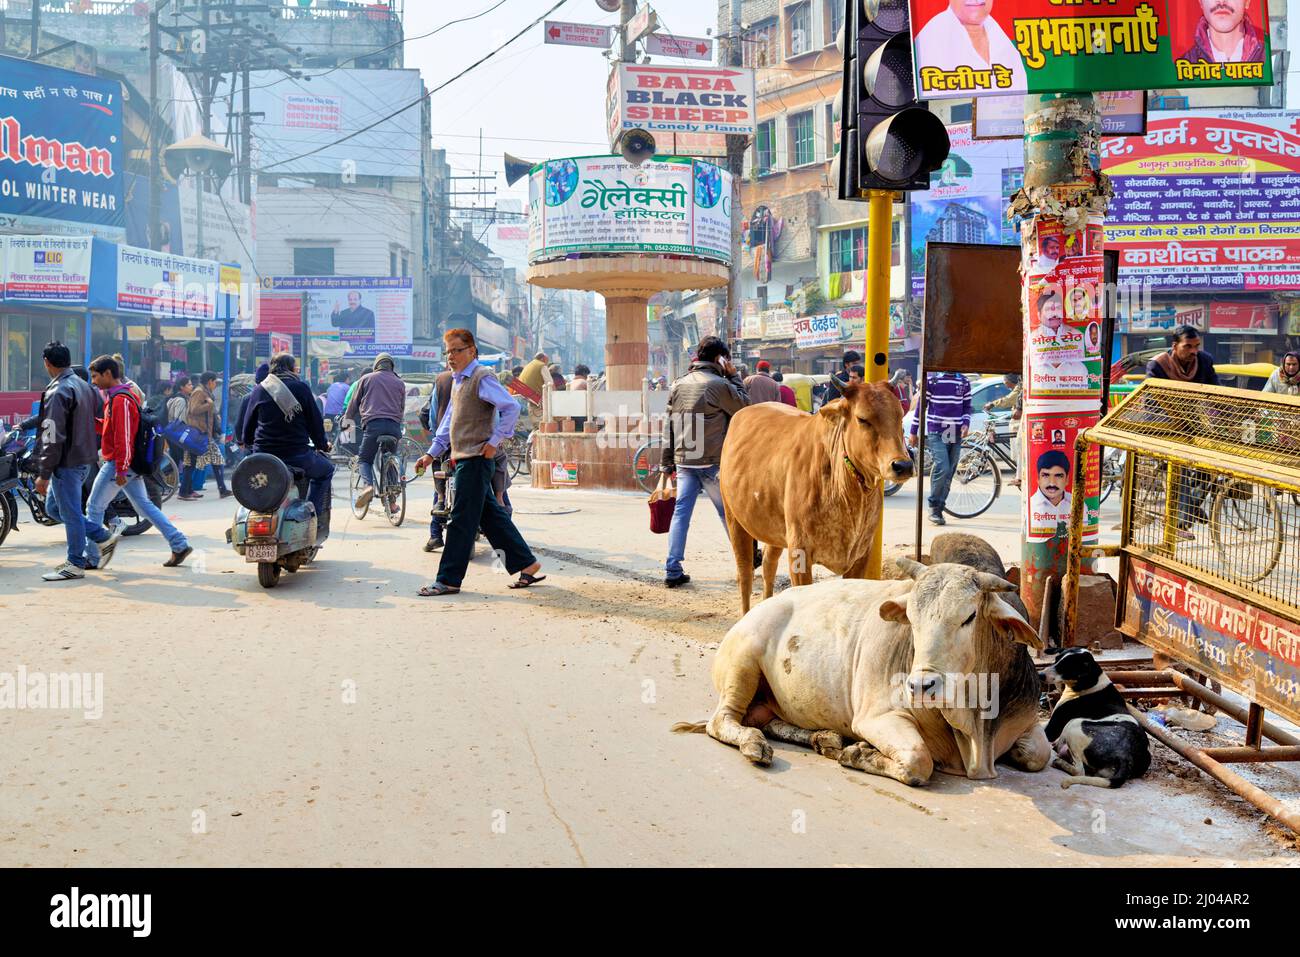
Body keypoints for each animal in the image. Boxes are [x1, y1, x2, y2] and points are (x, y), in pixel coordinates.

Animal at [676, 561, 1050, 785]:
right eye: (911, 619)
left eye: (969, 617)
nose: (921, 686)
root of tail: (758, 607)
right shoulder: (875, 717)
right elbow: (919, 761)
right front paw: (857, 753)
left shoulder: (1028, 721)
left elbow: (1039, 756)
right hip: (741, 663)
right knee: (721, 721)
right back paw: (756, 745)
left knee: (768, 721)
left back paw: (824, 738)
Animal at [722, 382, 915, 613]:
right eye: (862, 419)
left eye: (900, 415)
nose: (903, 465)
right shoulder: (800, 553)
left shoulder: (862, 555)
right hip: (734, 518)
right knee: (745, 573)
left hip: (773, 527)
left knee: (769, 565)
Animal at [1045, 647, 1149, 790]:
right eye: (1056, 659)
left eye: (1066, 667)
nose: (1040, 675)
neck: (1093, 684)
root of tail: (1125, 755)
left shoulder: (1051, 729)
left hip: (1074, 724)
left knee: (1079, 770)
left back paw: (1060, 763)